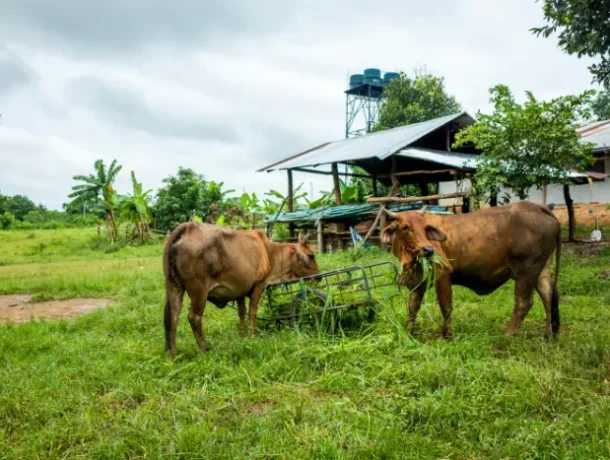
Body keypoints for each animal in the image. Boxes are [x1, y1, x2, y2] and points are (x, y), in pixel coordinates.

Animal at [164, 222, 320, 356]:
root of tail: (187, 227)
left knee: (172, 316)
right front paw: (252, 336)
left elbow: (241, 313)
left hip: (173, 286)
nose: (318, 277)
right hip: (199, 291)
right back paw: (204, 348)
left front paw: (242, 335)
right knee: (194, 317)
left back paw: (173, 354)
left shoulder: (239, 290)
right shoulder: (259, 284)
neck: (268, 250)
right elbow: (252, 312)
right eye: (311, 255)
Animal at [380, 201, 560, 338]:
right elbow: (413, 308)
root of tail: (536, 206)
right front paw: (408, 333)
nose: (428, 250)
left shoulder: (443, 275)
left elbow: (446, 306)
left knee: (524, 303)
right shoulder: (418, 283)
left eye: (425, 227)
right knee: (548, 295)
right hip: (541, 270)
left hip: (526, 270)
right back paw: (548, 335)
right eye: (405, 227)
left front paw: (447, 335)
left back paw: (506, 335)